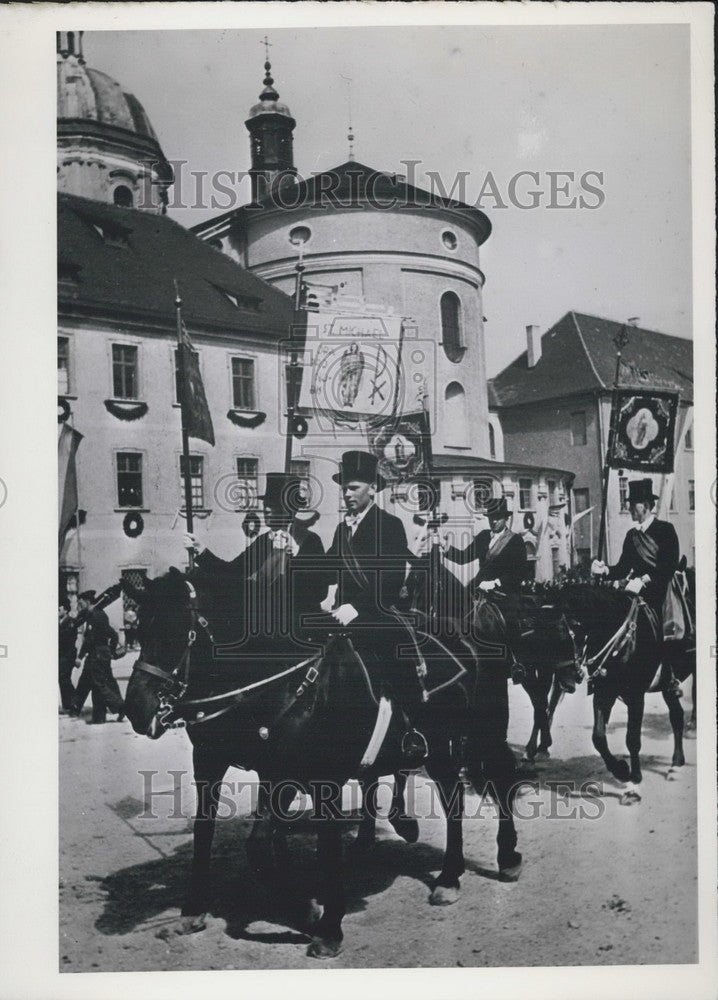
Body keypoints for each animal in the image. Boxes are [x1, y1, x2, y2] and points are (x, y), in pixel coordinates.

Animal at [122, 568, 516, 956]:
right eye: (140, 630)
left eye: (177, 632)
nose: (136, 708)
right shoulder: (230, 765)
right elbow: (228, 837)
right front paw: (200, 909)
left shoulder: (319, 778)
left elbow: (322, 847)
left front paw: (326, 925)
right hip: (440, 747)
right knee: (451, 798)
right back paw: (444, 871)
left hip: (481, 734)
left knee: (497, 778)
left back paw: (499, 861)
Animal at [560, 584, 688, 804]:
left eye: (576, 625)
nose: (567, 679)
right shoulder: (604, 692)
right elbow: (598, 737)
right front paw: (621, 770)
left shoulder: (636, 697)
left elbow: (632, 740)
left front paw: (634, 783)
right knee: (677, 716)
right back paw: (676, 765)